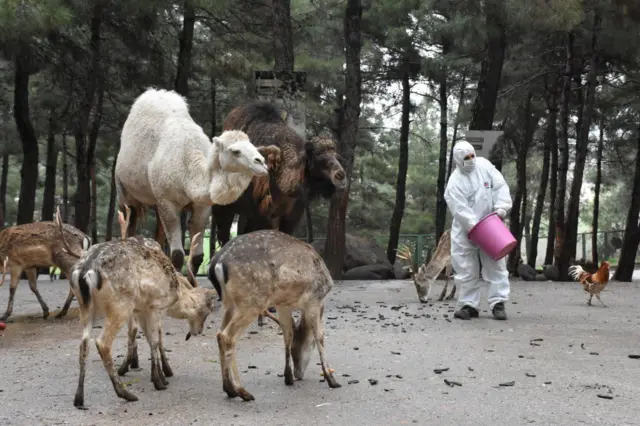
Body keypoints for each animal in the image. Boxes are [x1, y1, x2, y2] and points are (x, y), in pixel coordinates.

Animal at [64, 208, 218, 412]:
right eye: (208, 308)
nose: (198, 331)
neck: (175, 291)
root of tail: (84, 272)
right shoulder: (155, 306)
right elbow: (155, 339)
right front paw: (160, 380)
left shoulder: (140, 310)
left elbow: (147, 337)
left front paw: (160, 375)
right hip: (120, 305)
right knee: (102, 342)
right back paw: (125, 393)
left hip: (85, 307)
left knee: (83, 344)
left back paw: (79, 399)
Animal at [209, 228, 340, 402]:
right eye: (305, 345)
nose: (299, 374)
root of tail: (217, 263)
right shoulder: (314, 299)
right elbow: (320, 336)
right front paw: (332, 379)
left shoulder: (282, 304)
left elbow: (287, 334)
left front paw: (288, 377)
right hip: (251, 301)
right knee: (227, 337)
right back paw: (242, 391)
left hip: (229, 302)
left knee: (219, 333)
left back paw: (229, 390)